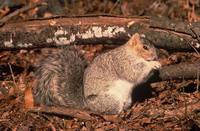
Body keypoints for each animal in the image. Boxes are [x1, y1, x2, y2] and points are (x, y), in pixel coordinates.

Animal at [32, 33, 161, 114]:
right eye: (145, 47)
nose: (155, 56)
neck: (131, 53)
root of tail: (87, 105)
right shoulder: (122, 62)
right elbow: (133, 73)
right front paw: (152, 64)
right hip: (110, 100)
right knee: (111, 111)